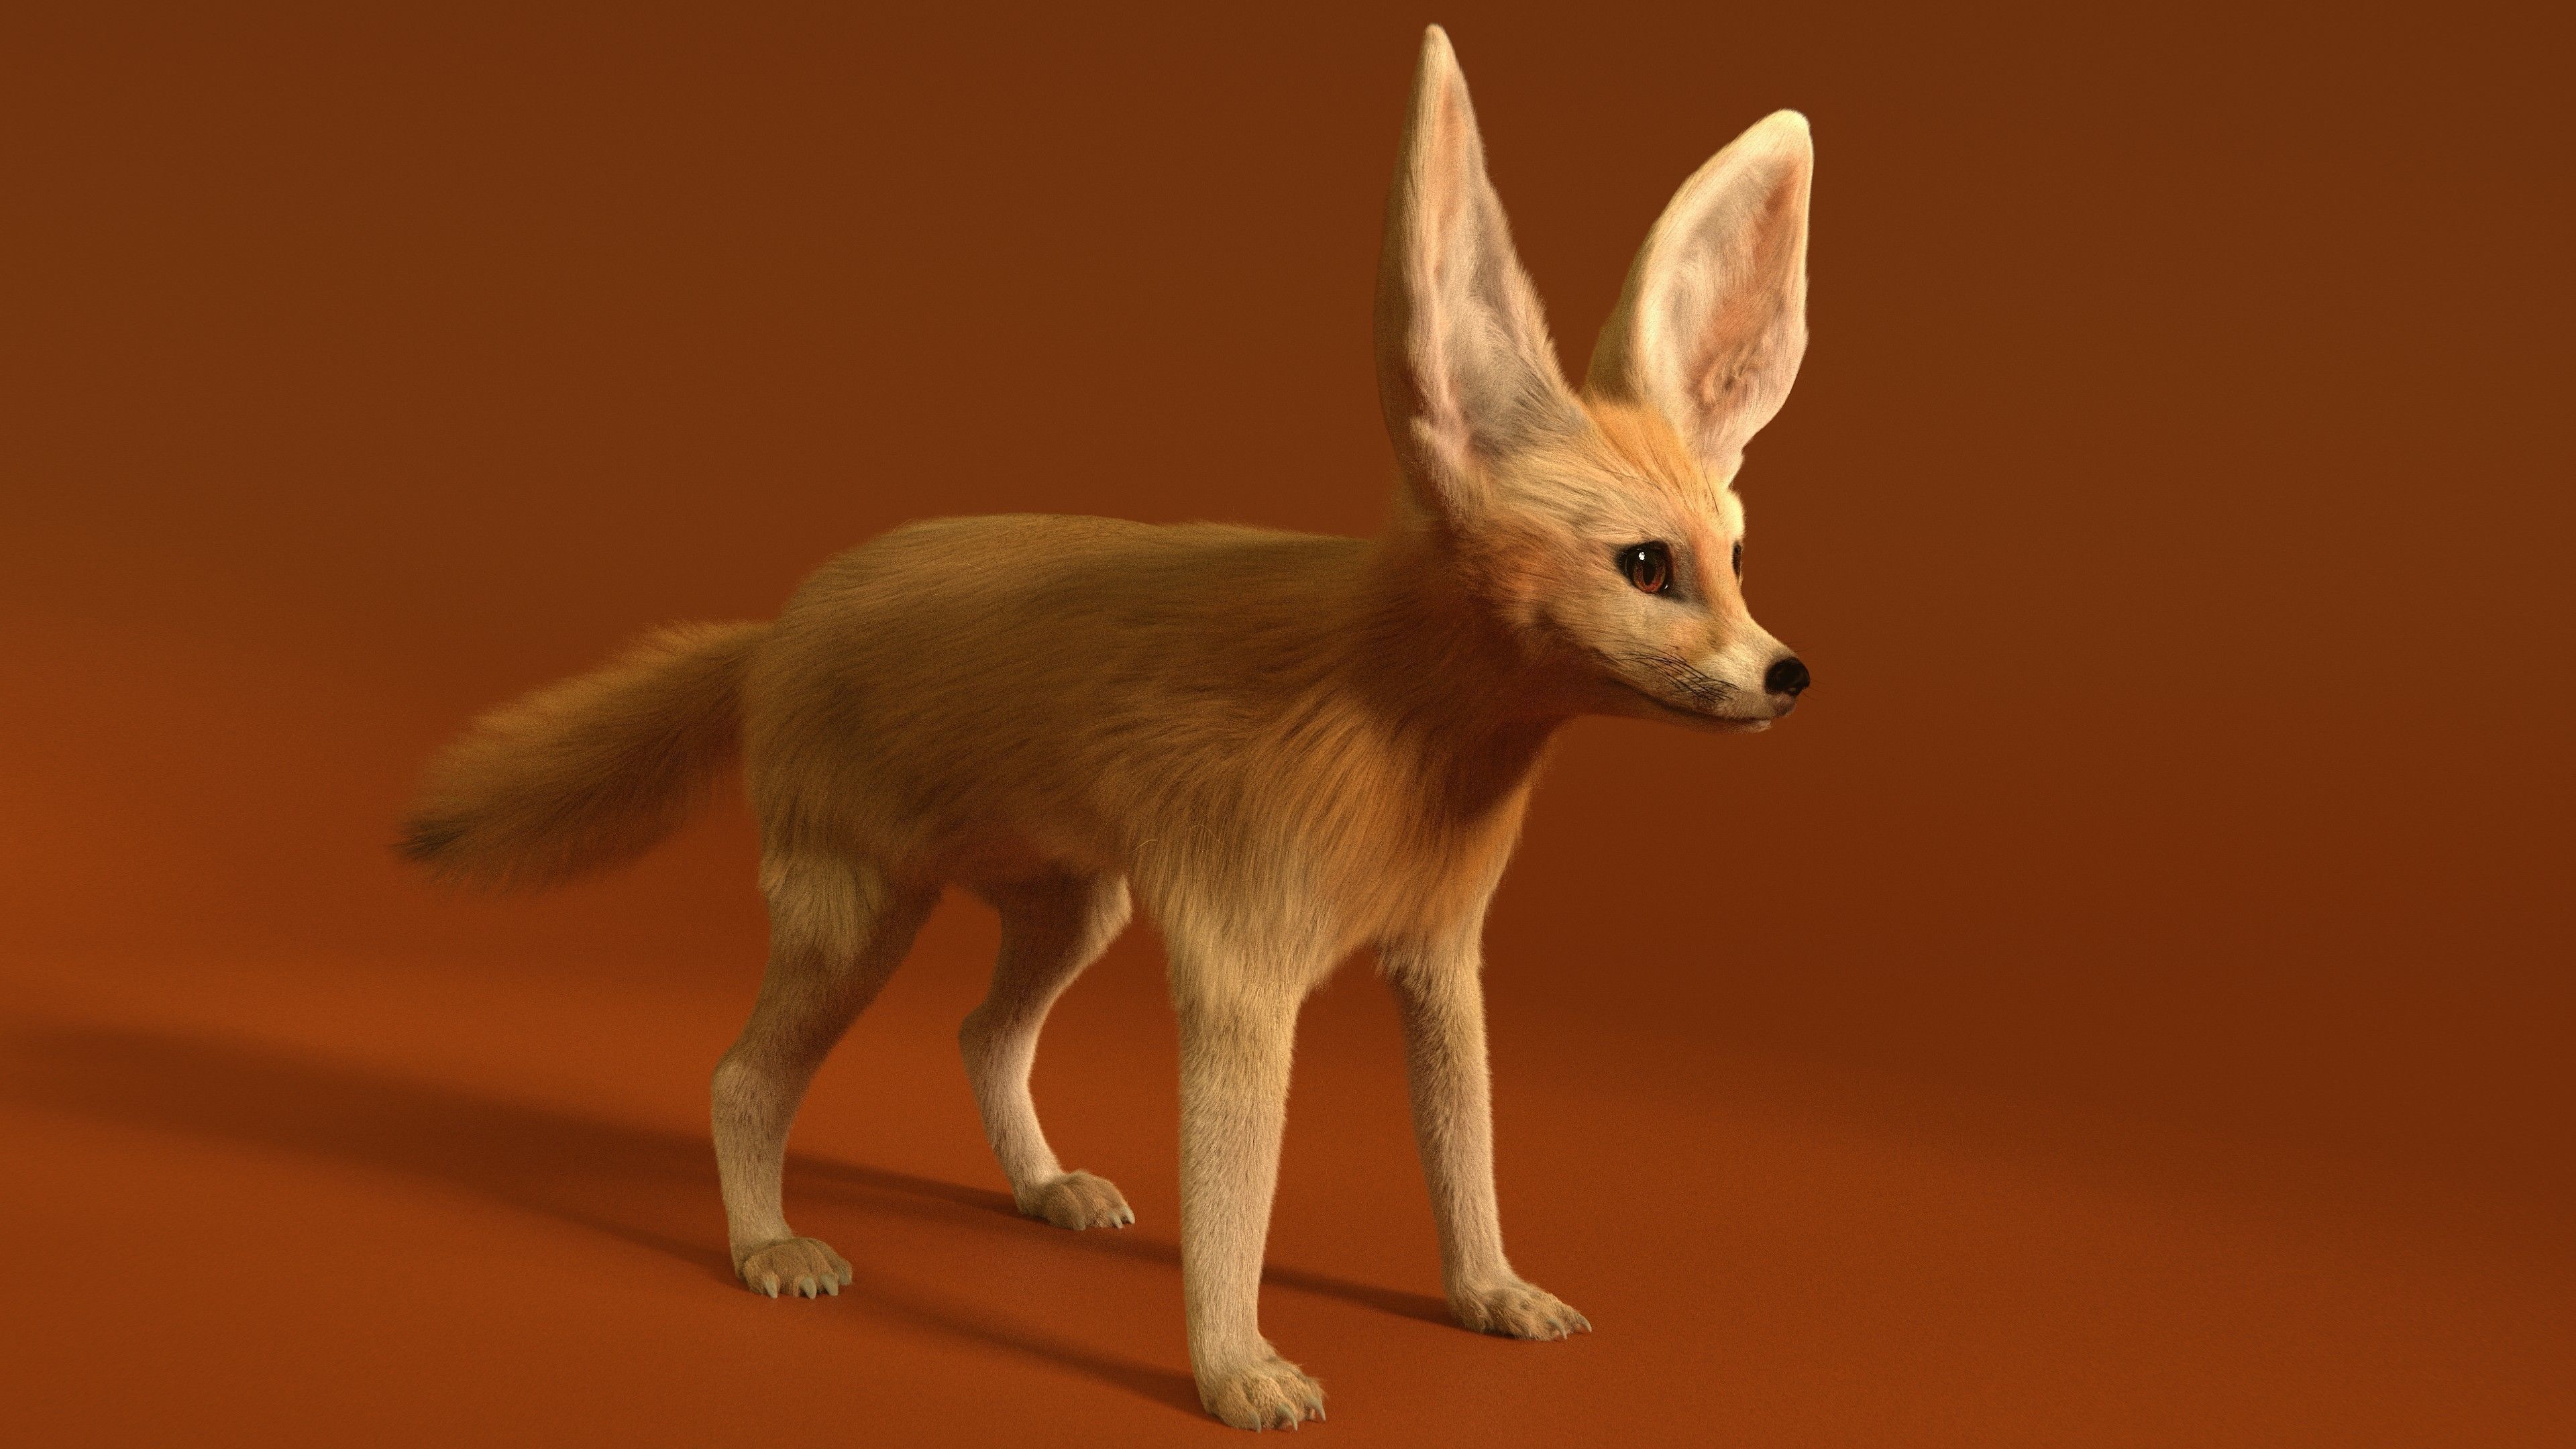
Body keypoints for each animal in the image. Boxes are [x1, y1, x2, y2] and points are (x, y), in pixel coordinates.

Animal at [400, 25, 1814, 1432]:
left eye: (1738, 558)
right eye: (1645, 567)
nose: (1789, 674)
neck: (1398, 735)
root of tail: (774, 628)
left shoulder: (1437, 959)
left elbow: (1465, 1153)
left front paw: (1491, 1295)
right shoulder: (1242, 975)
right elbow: (1236, 1205)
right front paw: (1238, 1370)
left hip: (1074, 906)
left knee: (981, 1034)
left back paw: (1044, 1189)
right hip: (859, 916)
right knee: (742, 1078)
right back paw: (769, 1250)